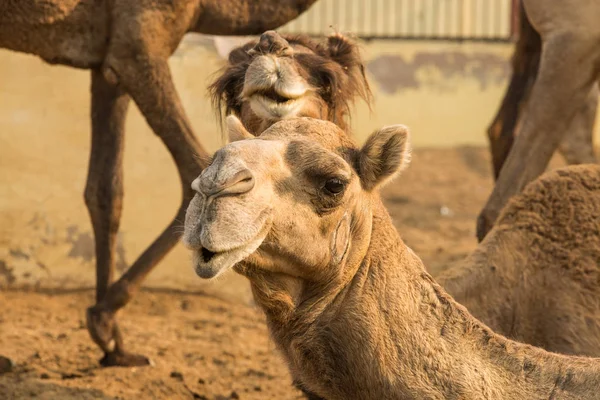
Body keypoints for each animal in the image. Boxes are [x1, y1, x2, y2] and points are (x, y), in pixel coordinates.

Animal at [0, 0, 324, 368]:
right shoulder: (139, 43)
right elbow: (193, 167)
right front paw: (103, 317)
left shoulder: (107, 64)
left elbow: (105, 190)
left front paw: (115, 348)